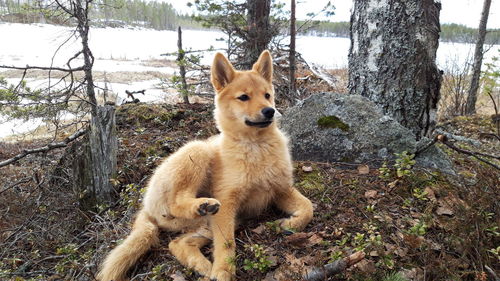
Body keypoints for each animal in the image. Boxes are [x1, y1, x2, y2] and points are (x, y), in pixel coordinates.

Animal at [97, 50, 312, 280]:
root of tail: (145, 207)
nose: (270, 111)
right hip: (198, 152)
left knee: (177, 243)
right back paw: (201, 206)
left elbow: (309, 207)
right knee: (177, 203)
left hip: (213, 222)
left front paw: (290, 224)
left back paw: (202, 265)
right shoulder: (227, 202)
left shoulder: (280, 189)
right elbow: (227, 244)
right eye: (244, 97)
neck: (256, 147)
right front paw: (224, 271)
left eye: (267, 95)